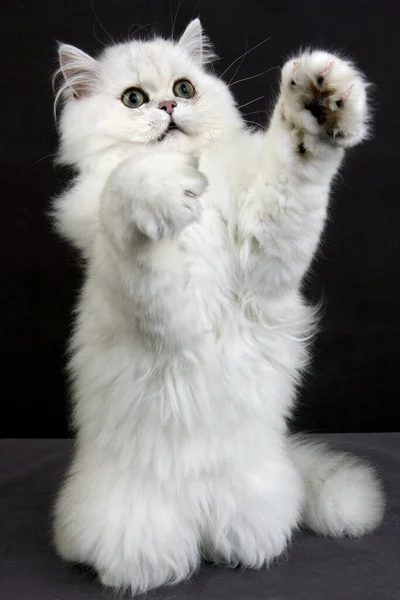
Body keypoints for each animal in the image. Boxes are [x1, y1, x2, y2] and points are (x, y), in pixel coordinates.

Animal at [53, 18, 384, 596]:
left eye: (184, 88)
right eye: (134, 98)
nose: (167, 107)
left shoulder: (264, 266)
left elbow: (297, 167)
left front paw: (319, 103)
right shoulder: (164, 314)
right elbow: (126, 206)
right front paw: (157, 187)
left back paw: (244, 551)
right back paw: (157, 568)